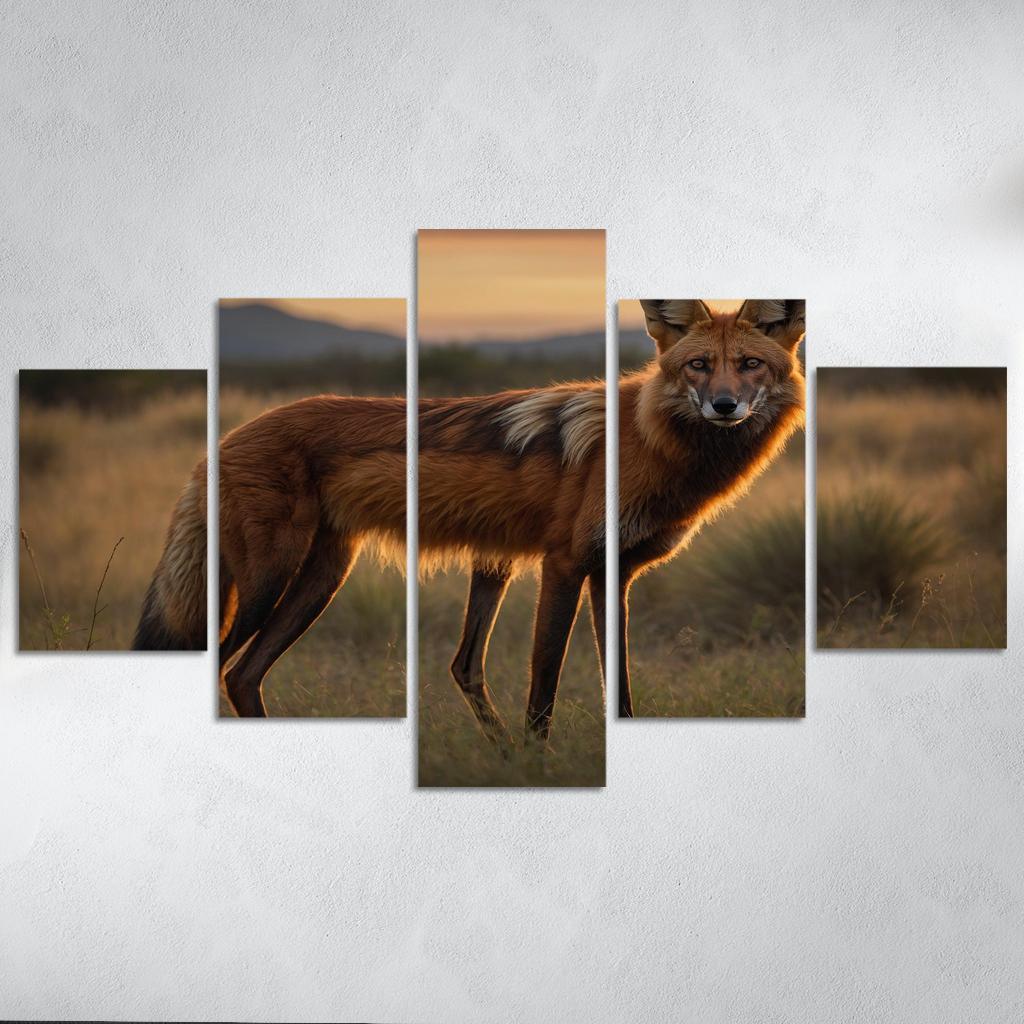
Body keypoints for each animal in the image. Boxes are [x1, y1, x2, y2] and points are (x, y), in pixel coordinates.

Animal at [134, 297, 802, 732]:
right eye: (698, 365)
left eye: (750, 365)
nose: (724, 406)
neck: (645, 442)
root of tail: (223, 440)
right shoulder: (564, 565)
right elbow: (542, 693)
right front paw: (535, 767)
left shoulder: (613, 575)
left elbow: (621, 693)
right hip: (270, 582)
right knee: (226, 668)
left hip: (322, 579)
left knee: (244, 677)